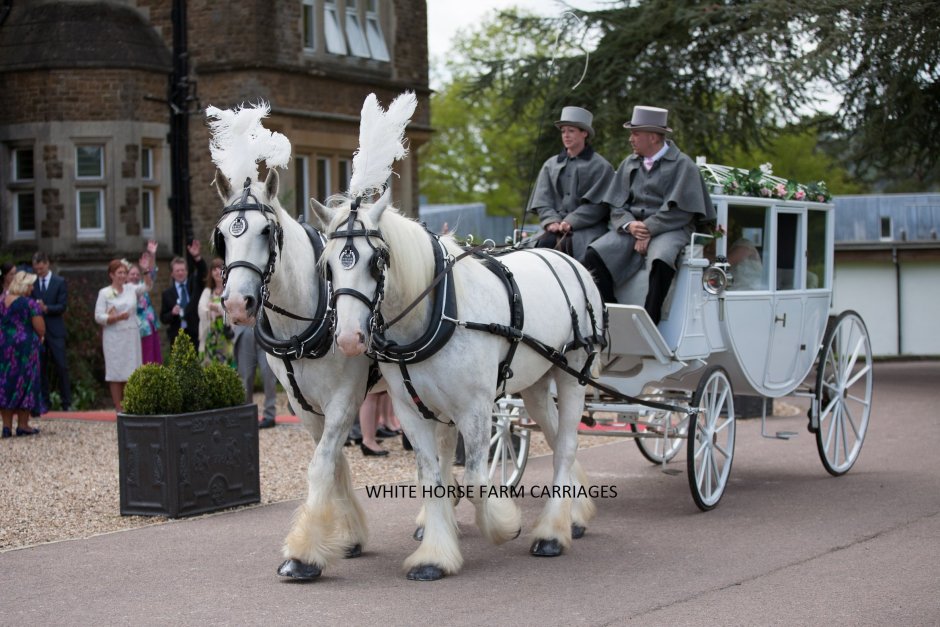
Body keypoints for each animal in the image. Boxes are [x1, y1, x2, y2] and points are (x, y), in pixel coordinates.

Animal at [209, 102, 374, 580]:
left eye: (266, 232)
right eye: (222, 236)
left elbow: (321, 466)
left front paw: (302, 554)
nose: (238, 303)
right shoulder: (305, 405)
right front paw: (347, 535)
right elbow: (332, 462)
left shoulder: (344, 398)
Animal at [312, 91, 604, 580]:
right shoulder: (413, 412)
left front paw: (503, 524)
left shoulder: (476, 407)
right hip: (537, 383)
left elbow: (476, 478)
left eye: (377, 261)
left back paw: (550, 533)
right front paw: (435, 554)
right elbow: (432, 477)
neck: (438, 313)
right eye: (329, 265)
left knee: (565, 445)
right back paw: (573, 516)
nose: (350, 339)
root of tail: (570, 260)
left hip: (572, 376)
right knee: (555, 433)